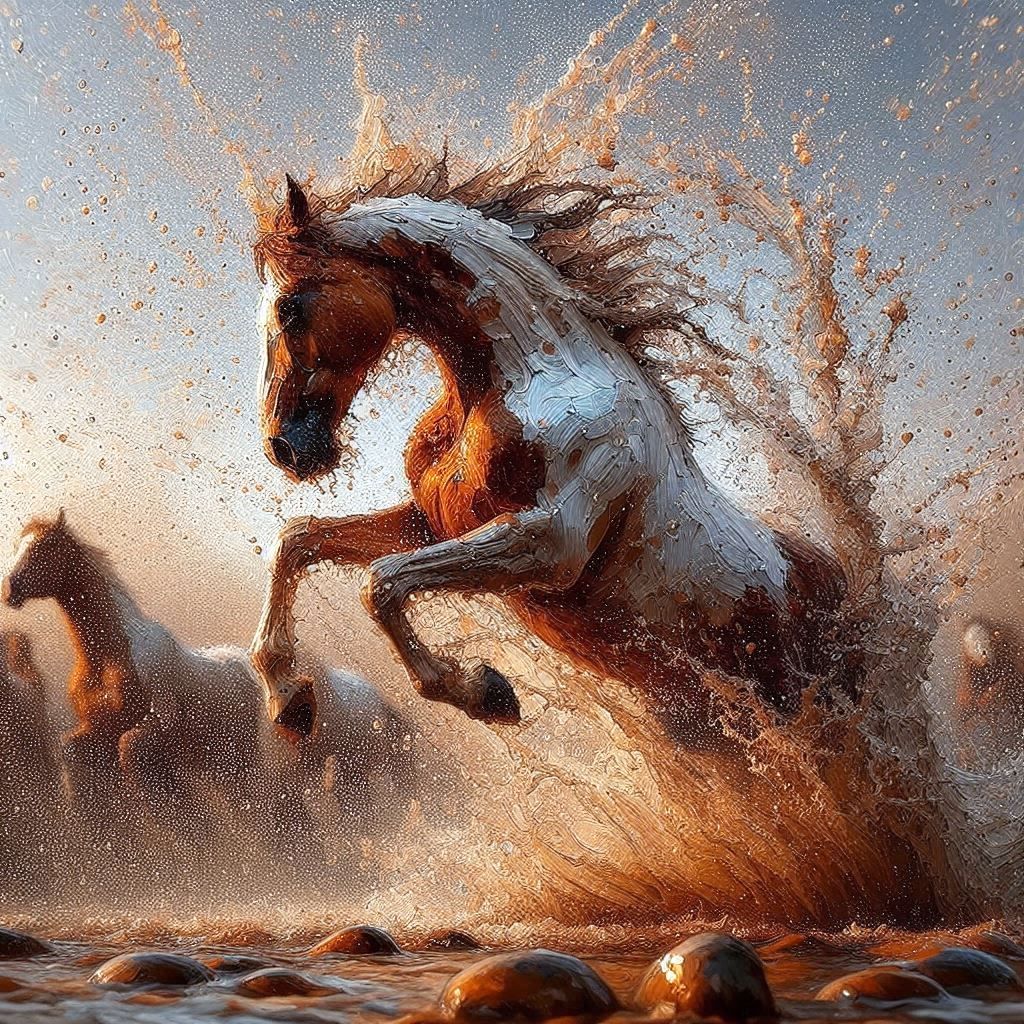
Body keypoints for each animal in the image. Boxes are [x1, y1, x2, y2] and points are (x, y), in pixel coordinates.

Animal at [1, 511, 415, 867]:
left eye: (43, 549)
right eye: (20, 544)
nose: (9, 590)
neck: (113, 654)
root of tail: (371, 695)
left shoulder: (157, 729)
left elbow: (132, 753)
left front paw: (182, 826)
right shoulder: (97, 730)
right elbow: (74, 751)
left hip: (336, 772)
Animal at [248, 170, 860, 747]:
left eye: (290, 308)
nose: (283, 448)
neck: (534, 379)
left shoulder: (549, 542)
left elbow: (381, 585)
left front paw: (484, 691)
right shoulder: (430, 523)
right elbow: (298, 540)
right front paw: (289, 698)